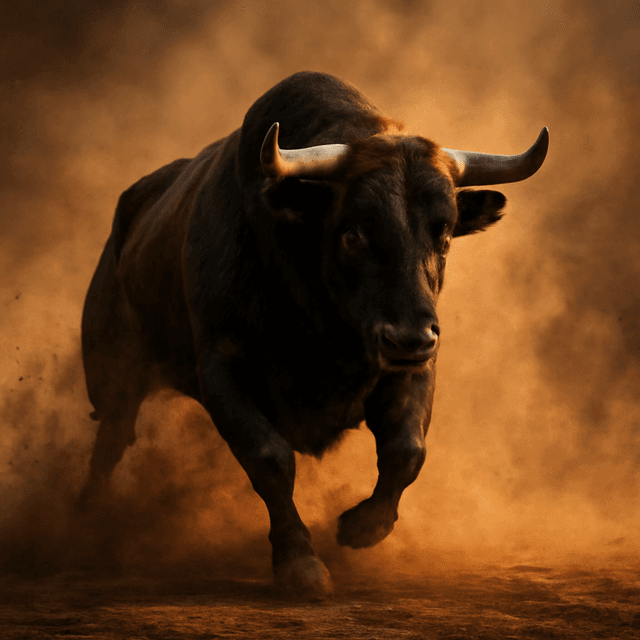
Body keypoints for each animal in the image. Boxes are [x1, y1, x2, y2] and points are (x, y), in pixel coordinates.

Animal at [77, 71, 548, 598]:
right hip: (112, 377)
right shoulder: (221, 370)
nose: (409, 338)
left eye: (443, 235)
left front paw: (360, 527)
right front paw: (299, 562)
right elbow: (270, 458)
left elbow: (407, 449)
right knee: (110, 444)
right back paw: (87, 524)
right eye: (352, 234)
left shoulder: (412, 366)